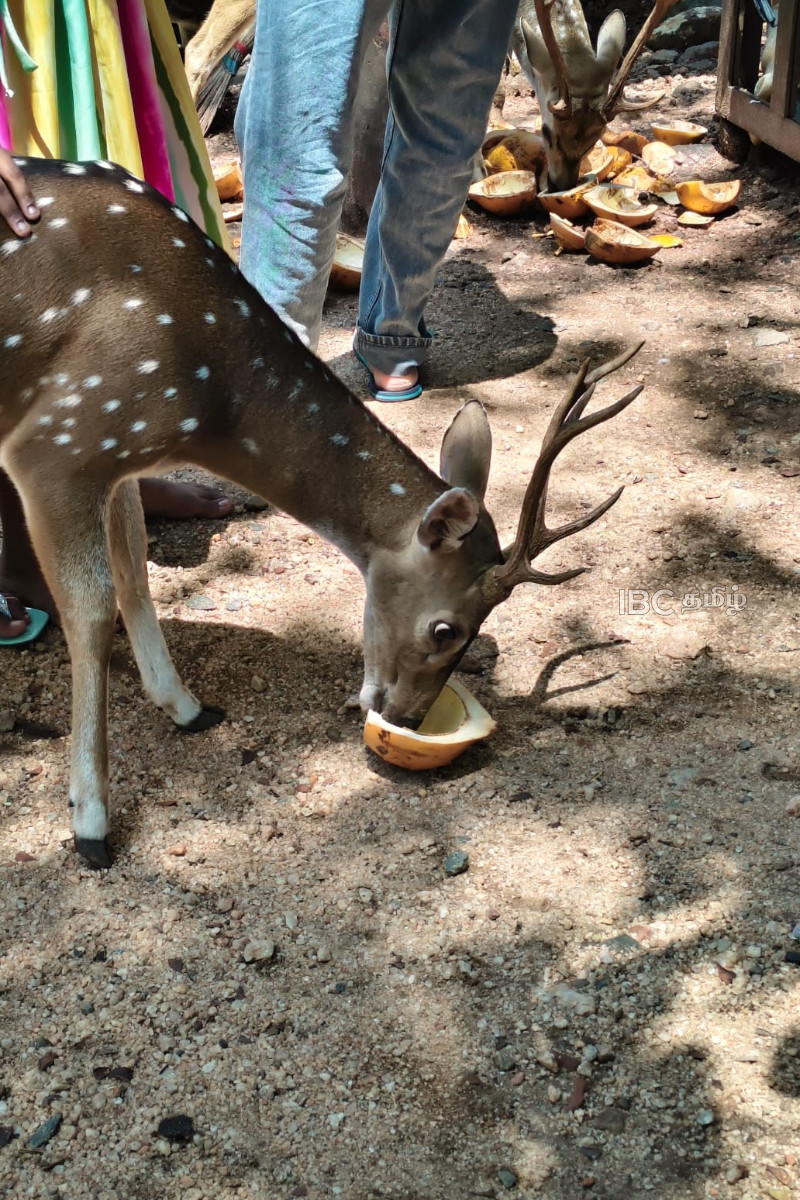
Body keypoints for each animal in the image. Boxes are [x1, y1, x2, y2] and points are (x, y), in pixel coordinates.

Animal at [1, 157, 643, 869]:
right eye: (445, 628)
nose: (407, 717)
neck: (202, 397)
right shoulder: (58, 444)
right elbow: (91, 611)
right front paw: (91, 824)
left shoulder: (118, 453)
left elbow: (135, 574)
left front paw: (189, 709)